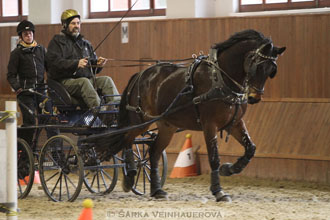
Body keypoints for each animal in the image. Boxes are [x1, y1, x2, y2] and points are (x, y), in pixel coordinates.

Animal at [107, 28, 284, 201]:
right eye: (258, 67)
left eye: (272, 71)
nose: (254, 97)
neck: (220, 79)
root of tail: (140, 74)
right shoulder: (209, 125)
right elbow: (214, 157)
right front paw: (218, 191)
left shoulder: (235, 123)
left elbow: (250, 148)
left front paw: (229, 169)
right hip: (140, 120)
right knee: (127, 140)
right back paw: (130, 177)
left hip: (167, 126)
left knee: (154, 152)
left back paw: (157, 190)